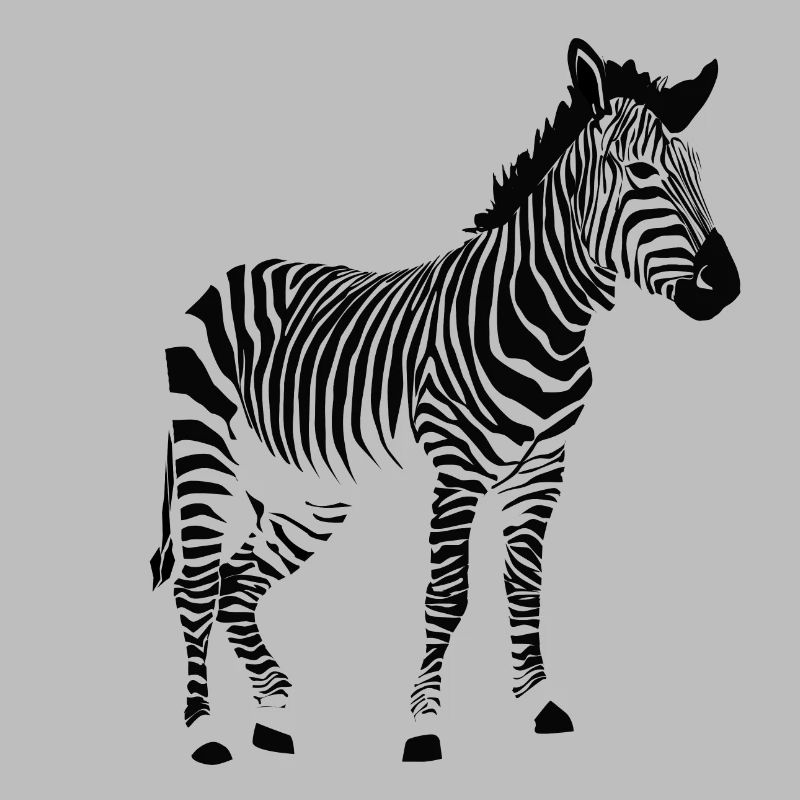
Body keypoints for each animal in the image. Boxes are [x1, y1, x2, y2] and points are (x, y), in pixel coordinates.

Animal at [151, 38, 740, 764]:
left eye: (701, 172)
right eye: (640, 172)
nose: (727, 284)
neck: (544, 323)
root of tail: (228, 276)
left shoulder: (543, 474)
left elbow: (524, 588)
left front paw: (538, 702)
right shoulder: (455, 472)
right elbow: (448, 595)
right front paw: (423, 727)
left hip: (308, 493)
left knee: (239, 584)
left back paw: (272, 717)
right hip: (204, 457)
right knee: (196, 587)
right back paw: (205, 733)